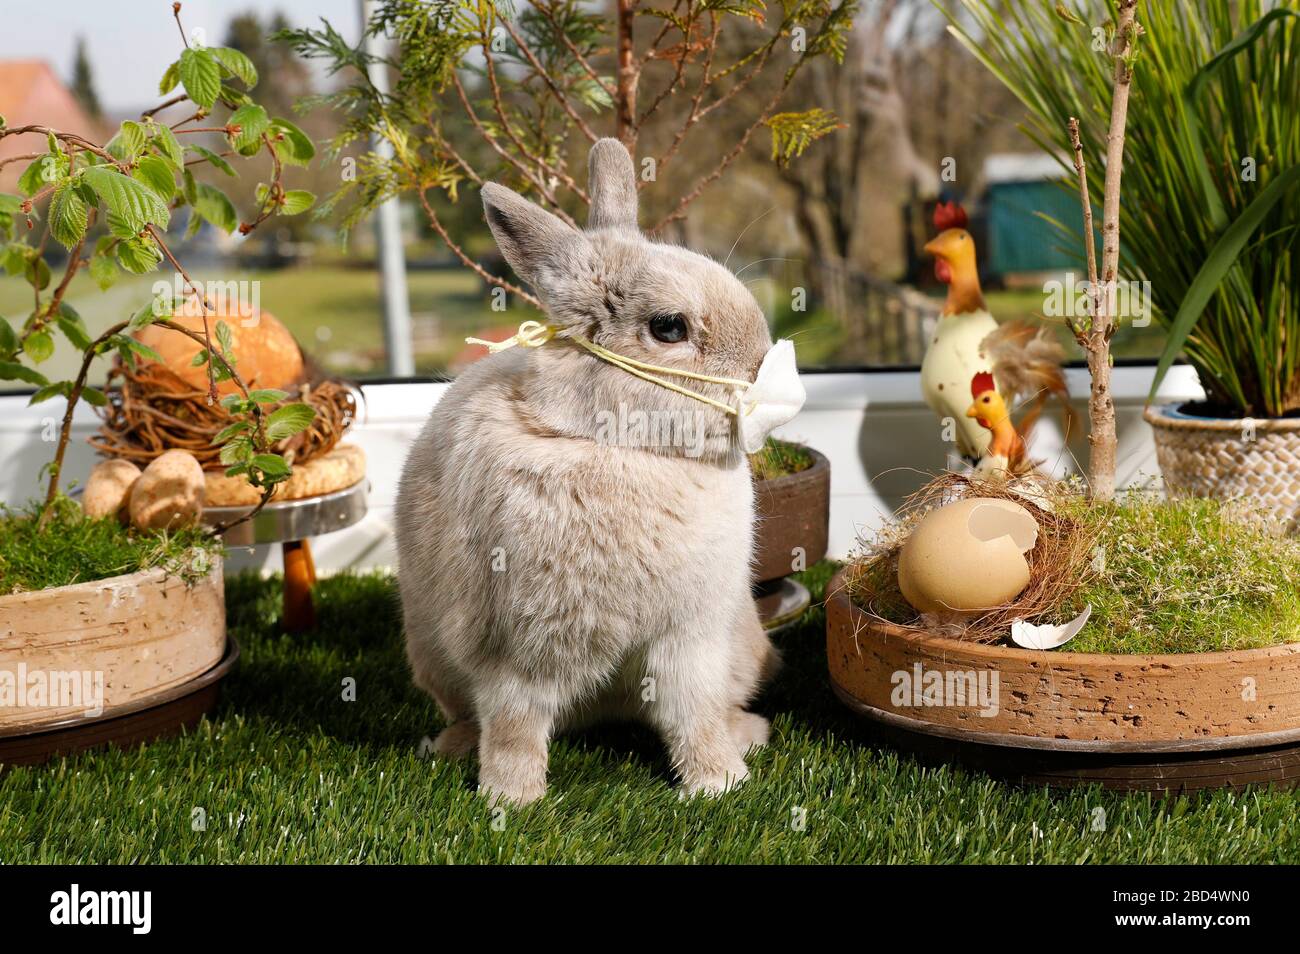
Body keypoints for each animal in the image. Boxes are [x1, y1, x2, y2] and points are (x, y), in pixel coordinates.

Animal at [392, 136, 780, 805]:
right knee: (478, 717)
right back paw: (450, 750)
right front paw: (511, 799)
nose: (760, 368)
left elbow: (694, 713)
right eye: (669, 327)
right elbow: (516, 723)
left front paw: (718, 783)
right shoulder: (517, 653)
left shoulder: (691, 639)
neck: (621, 447)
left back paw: (748, 734)